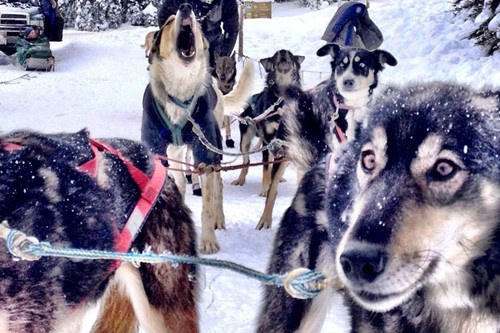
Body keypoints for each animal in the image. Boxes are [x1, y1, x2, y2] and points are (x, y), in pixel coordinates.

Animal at [141, 2, 254, 253]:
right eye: (168, 21)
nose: (185, 7)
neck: (181, 95)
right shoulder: (159, 152)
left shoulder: (205, 157)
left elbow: (207, 207)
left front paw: (208, 241)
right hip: (176, 153)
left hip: (212, 150)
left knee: (217, 187)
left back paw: (219, 219)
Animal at [256, 44, 396, 230]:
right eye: (342, 65)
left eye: (362, 65)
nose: (347, 81)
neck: (349, 109)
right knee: (273, 188)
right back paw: (265, 218)